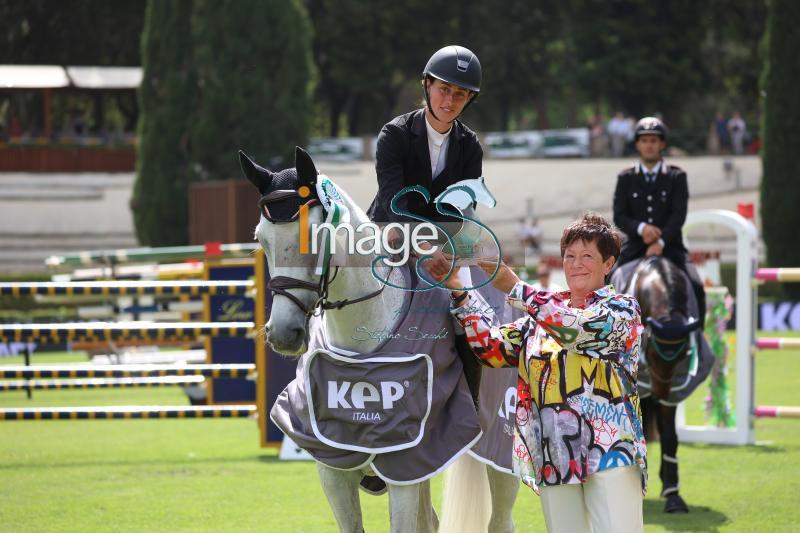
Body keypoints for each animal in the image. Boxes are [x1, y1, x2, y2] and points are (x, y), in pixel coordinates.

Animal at [616, 256, 708, 512]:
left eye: (684, 354)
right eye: (650, 352)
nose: (661, 393)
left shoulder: (674, 386)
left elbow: (669, 435)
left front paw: (673, 493)